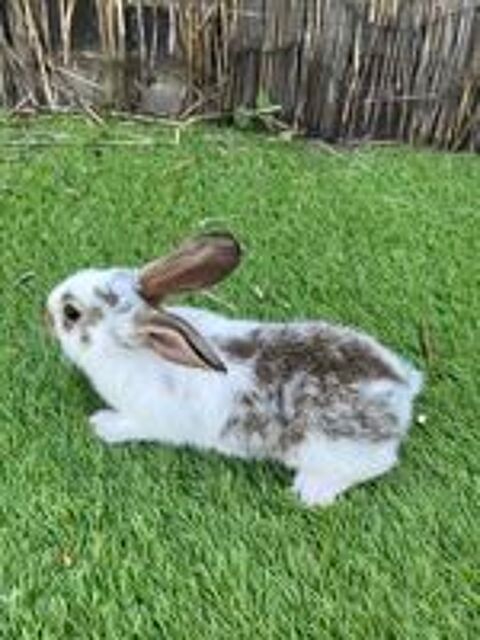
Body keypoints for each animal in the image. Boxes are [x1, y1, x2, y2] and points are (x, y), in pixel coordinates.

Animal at [45, 232, 423, 507]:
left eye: (71, 313)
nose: (45, 310)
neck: (138, 349)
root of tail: (400, 388)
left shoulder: (149, 418)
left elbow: (128, 425)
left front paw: (100, 426)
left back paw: (310, 492)